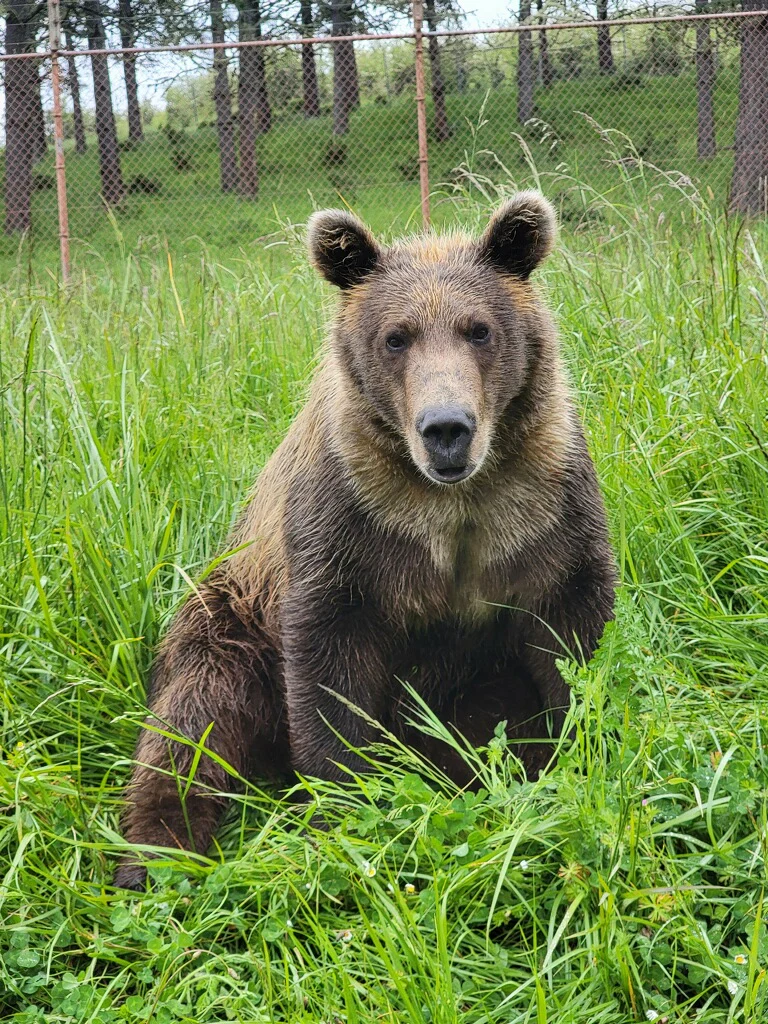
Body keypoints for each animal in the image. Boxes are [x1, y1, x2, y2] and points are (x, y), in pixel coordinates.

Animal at [114, 192, 616, 889]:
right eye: (396, 336)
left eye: (479, 329)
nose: (446, 429)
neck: (450, 502)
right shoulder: (351, 526)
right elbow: (330, 668)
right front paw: (346, 807)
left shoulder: (539, 509)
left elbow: (570, 638)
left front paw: (574, 754)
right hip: (228, 616)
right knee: (194, 717)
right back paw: (156, 853)